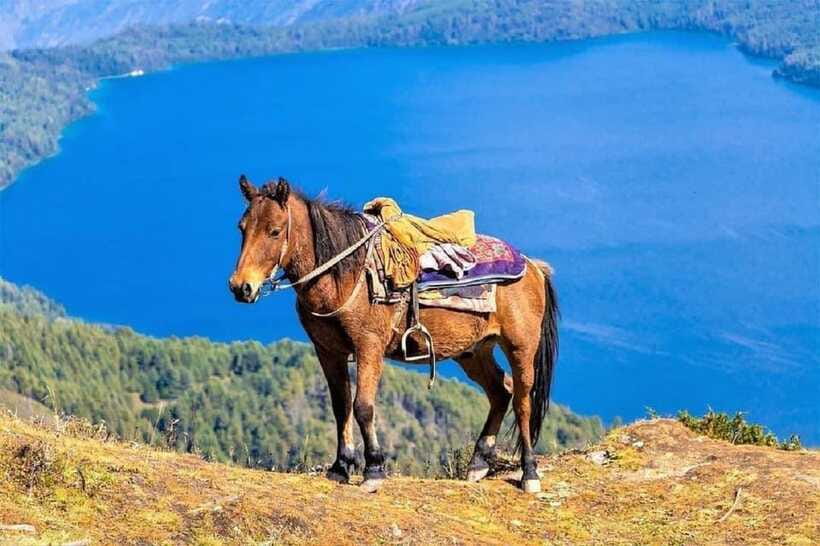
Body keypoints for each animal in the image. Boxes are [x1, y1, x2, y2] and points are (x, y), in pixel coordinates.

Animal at [228, 175, 558, 494]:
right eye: (241, 227)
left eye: (274, 231)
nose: (241, 287)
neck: (345, 276)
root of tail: (532, 266)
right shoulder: (328, 351)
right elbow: (340, 406)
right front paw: (340, 467)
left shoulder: (369, 347)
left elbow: (363, 406)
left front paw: (373, 470)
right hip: (473, 351)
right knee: (500, 391)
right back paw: (478, 462)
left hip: (520, 347)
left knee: (522, 401)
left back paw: (529, 473)